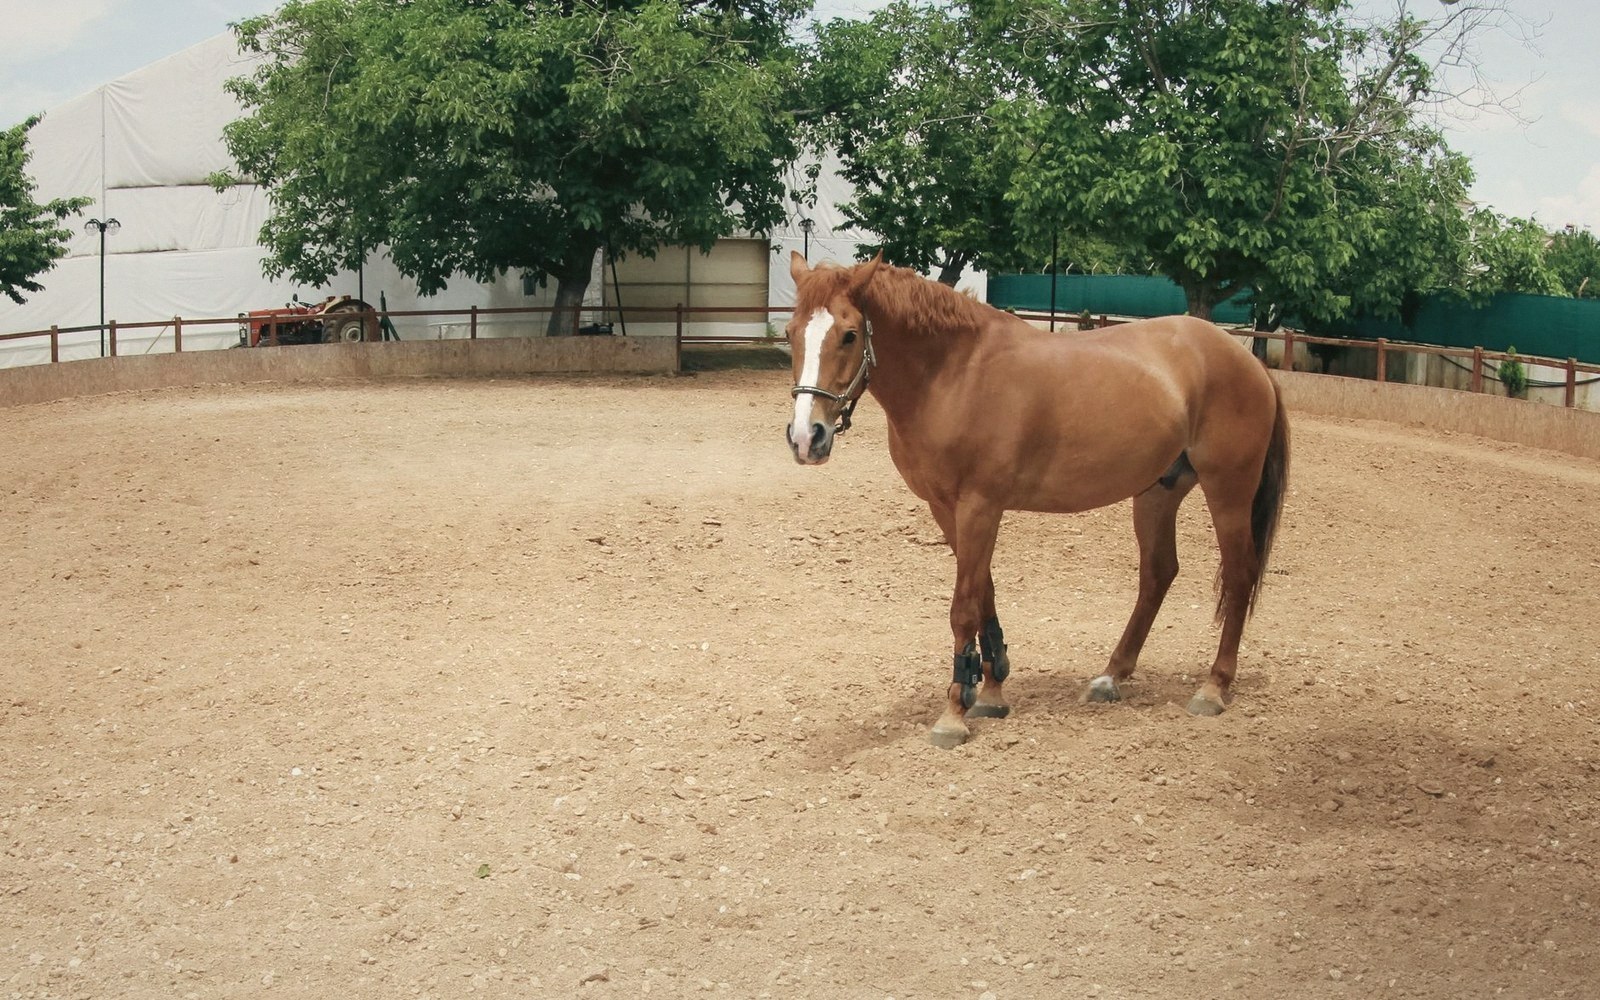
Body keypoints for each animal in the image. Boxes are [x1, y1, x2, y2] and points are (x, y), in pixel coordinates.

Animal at [783, 252, 1289, 747]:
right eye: (791, 333)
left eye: (849, 335)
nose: (807, 438)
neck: (955, 373)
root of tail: (1246, 361)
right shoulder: (947, 509)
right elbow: (983, 594)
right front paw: (989, 689)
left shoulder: (980, 506)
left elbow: (964, 607)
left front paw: (954, 714)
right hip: (1156, 494)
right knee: (1158, 574)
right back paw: (1111, 677)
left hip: (1228, 491)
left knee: (1239, 576)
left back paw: (1214, 687)